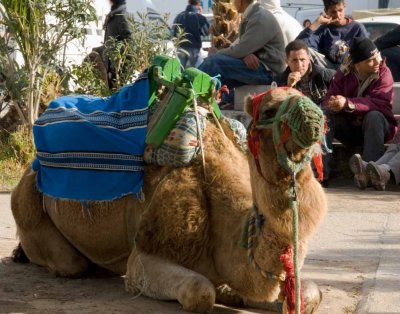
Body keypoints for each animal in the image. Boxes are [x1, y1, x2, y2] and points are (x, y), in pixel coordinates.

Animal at [10, 67, 328, 312]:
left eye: (309, 98)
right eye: (270, 109)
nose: (315, 119)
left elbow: (310, 294)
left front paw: (232, 292)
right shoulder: (144, 255)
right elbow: (200, 291)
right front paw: (220, 291)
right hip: (27, 204)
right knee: (69, 263)